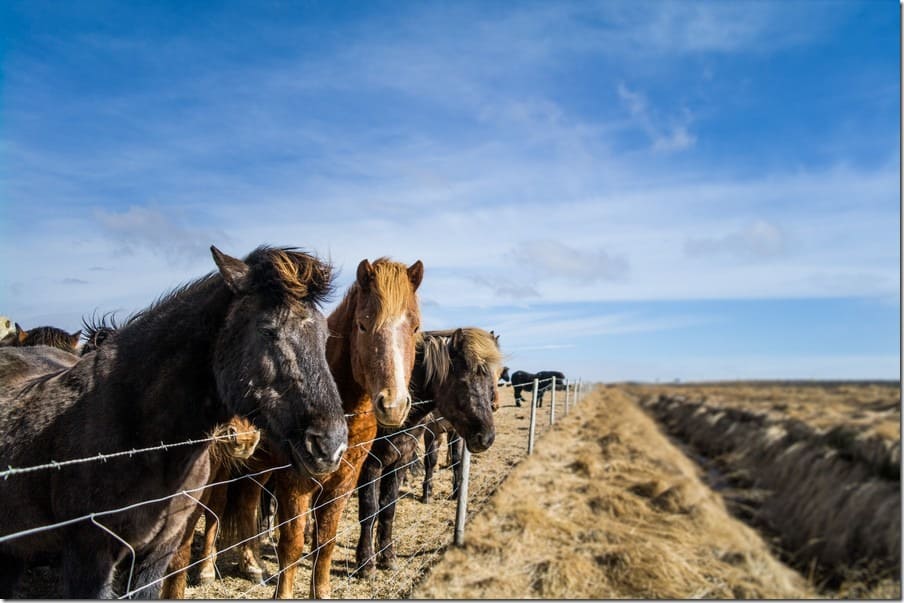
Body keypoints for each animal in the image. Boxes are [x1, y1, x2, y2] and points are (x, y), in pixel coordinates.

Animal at [354, 330, 502, 576]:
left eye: (496, 376)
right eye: (464, 381)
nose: (487, 438)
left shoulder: (400, 460)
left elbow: (388, 507)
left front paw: (387, 556)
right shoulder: (370, 465)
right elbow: (370, 510)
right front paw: (366, 563)